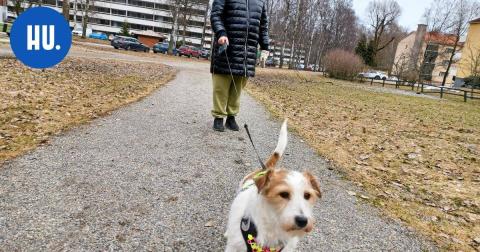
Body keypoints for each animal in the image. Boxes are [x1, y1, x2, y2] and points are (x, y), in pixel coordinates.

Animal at [225, 120, 322, 252]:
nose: (302, 221)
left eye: (307, 195)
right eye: (283, 194)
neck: (273, 226)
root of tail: (264, 169)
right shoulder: (234, 246)